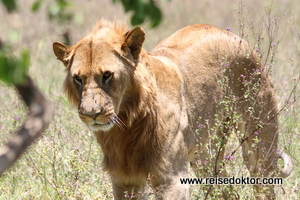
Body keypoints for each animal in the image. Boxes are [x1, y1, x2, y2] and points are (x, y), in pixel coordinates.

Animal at [52, 19, 292, 200]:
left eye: (107, 75)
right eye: (78, 79)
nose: (91, 115)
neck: (126, 125)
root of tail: (234, 36)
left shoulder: (171, 179)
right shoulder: (124, 180)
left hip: (260, 143)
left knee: (263, 182)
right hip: (206, 156)